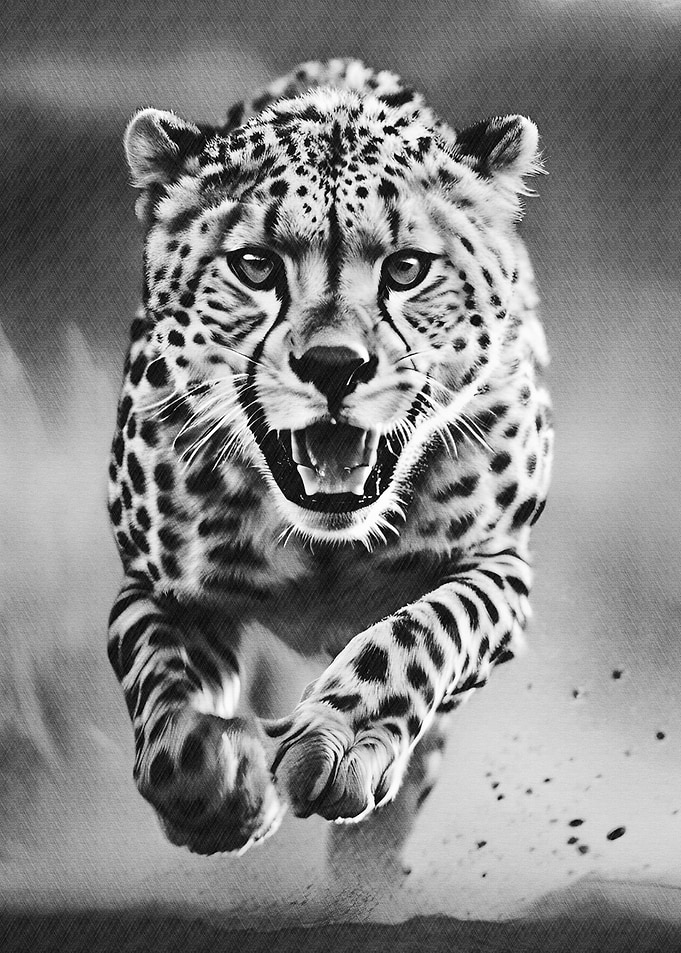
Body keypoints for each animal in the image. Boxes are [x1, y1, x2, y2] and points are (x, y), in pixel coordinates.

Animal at [107, 57, 552, 862]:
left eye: (406, 269)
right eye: (256, 266)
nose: (334, 366)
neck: (325, 549)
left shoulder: (499, 564)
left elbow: (422, 629)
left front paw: (340, 743)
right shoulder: (159, 586)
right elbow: (158, 677)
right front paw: (208, 777)